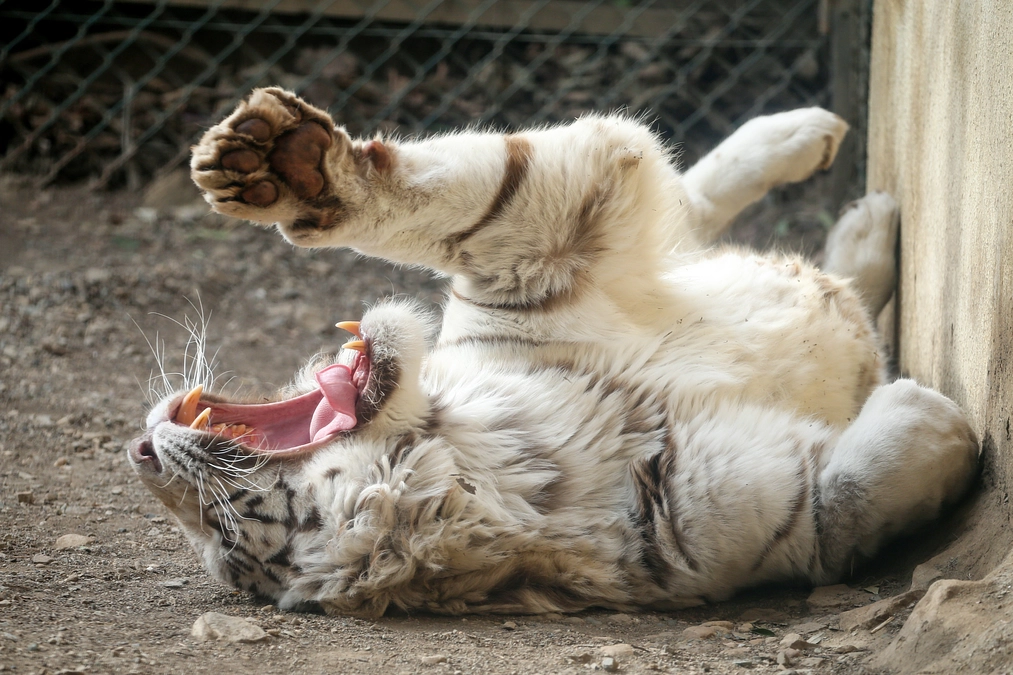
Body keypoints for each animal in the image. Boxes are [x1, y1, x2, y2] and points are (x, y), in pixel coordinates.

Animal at [128, 88, 980, 616]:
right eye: (226, 529)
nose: (139, 451)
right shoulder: (753, 521)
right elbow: (856, 492)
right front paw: (931, 411)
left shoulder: (539, 243)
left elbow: (455, 193)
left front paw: (289, 164)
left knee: (694, 207)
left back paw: (822, 156)